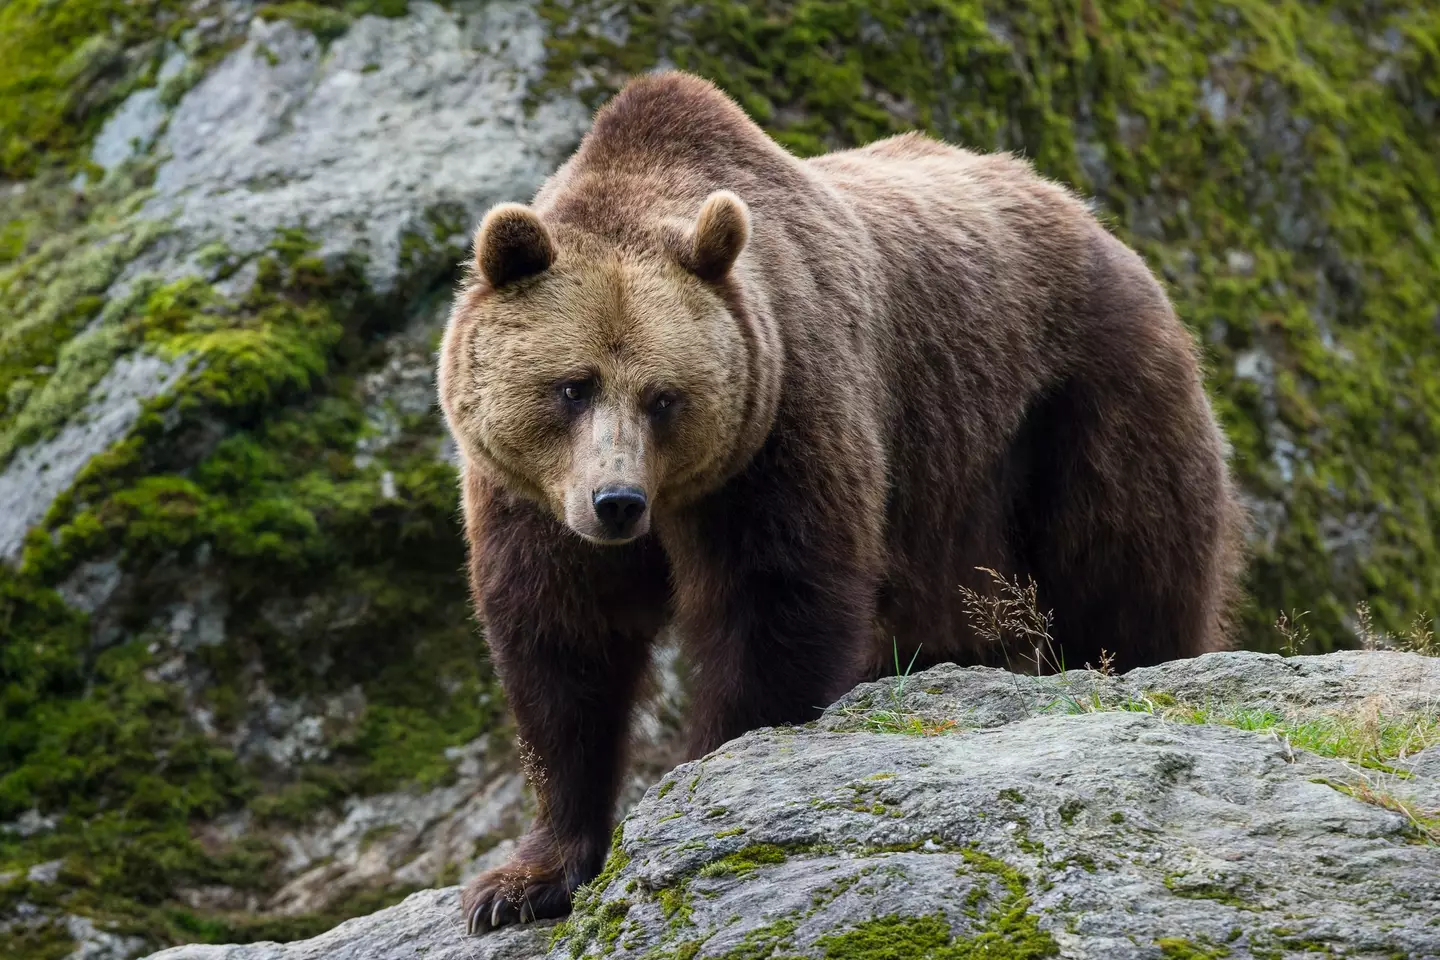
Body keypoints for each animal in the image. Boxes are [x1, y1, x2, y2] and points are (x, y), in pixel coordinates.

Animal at [432, 67, 1244, 932]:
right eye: (572, 386)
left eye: (664, 397)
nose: (616, 501)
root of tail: (1093, 219)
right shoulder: (530, 497)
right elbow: (562, 646)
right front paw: (522, 880)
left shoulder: (786, 414)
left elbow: (775, 604)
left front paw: (710, 772)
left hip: (1079, 405)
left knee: (1127, 574)